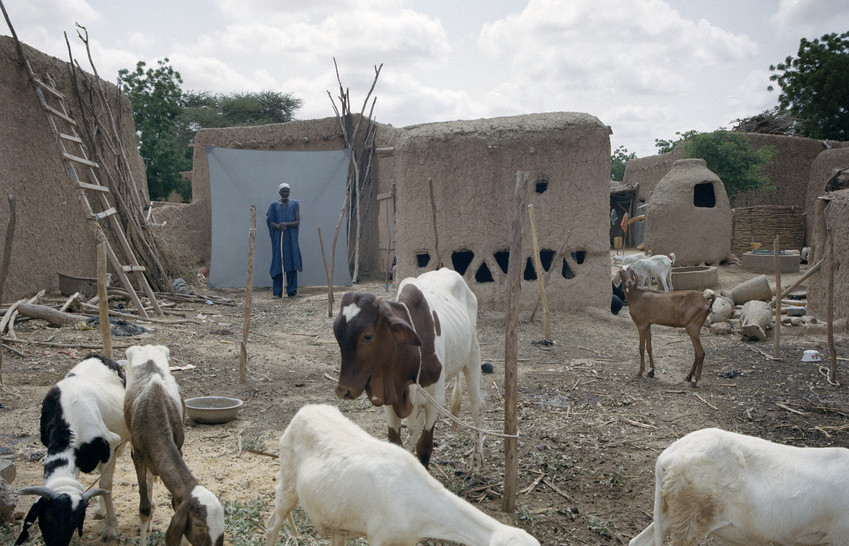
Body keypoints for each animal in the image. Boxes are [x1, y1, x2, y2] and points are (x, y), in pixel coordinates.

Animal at [15, 352, 127, 544]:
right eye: (49, 517)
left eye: (75, 520)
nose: (58, 544)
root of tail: (100, 357)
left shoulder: (111, 444)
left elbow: (105, 484)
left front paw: (110, 527)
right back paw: (100, 511)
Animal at [122, 344, 224, 544]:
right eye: (198, 524)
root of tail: (146, 347)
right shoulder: (138, 455)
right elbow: (144, 508)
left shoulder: (179, 446)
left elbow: (175, 503)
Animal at [332, 268, 484, 472]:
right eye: (337, 334)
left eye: (368, 336)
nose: (343, 390)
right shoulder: (390, 398)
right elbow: (396, 443)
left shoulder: (435, 400)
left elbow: (424, 447)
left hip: (473, 355)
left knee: (477, 408)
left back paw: (476, 464)